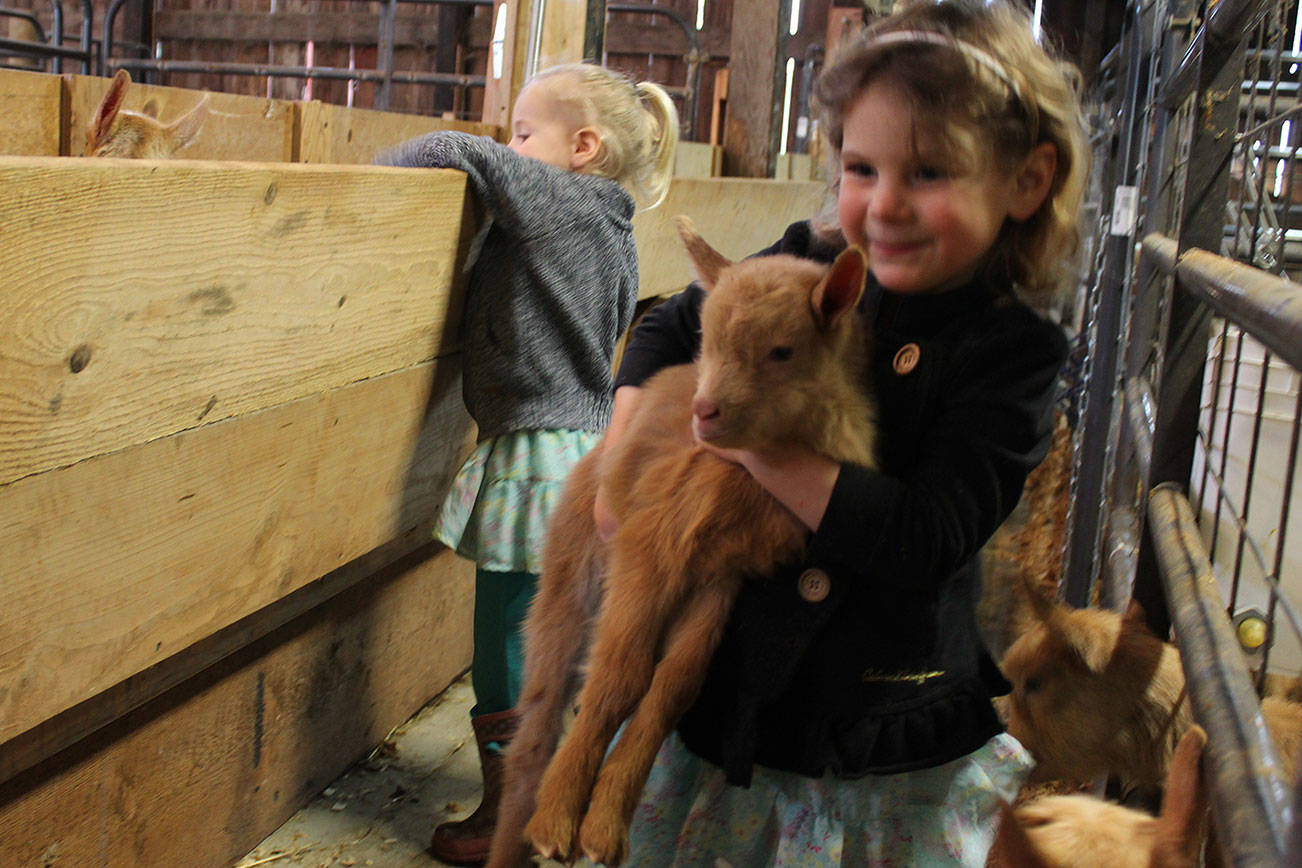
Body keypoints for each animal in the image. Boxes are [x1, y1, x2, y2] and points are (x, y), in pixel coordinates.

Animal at [486, 218, 874, 868]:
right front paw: (561, 821)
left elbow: (672, 688)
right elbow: (619, 676)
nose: (705, 411)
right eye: (706, 340)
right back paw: (527, 824)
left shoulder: (721, 576)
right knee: (533, 731)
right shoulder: (651, 544)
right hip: (566, 588)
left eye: (783, 350)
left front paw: (604, 827)